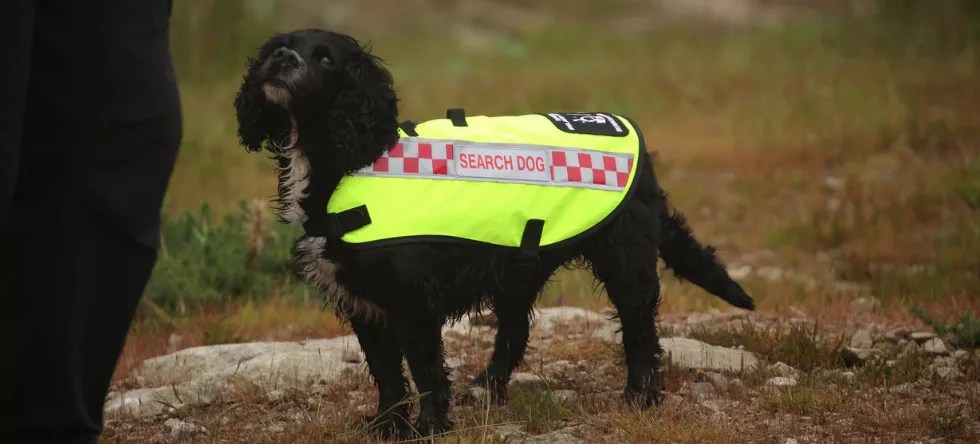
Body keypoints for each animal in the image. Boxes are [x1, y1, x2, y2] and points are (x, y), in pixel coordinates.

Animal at [234, 29, 756, 438]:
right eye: (276, 47)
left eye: (325, 58)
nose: (283, 59)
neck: (350, 158)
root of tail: (641, 155)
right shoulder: (365, 304)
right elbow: (387, 376)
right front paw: (387, 427)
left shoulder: (413, 302)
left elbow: (424, 370)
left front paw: (429, 427)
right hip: (519, 266)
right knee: (516, 330)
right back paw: (488, 389)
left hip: (623, 259)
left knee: (640, 328)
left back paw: (640, 397)